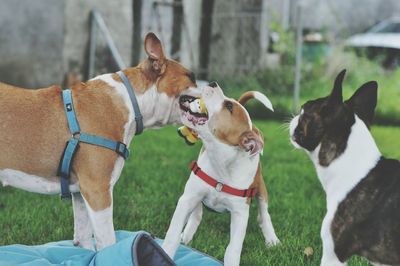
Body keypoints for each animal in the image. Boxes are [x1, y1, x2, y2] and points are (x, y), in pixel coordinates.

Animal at [0, 32, 199, 249]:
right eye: (191, 77)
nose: (213, 85)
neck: (131, 101)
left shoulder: (80, 193)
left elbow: (84, 238)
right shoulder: (98, 191)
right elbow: (107, 241)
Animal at [161, 83, 280, 266]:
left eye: (229, 106)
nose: (213, 83)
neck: (221, 162)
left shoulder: (240, 214)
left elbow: (233, 249)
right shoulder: (187, 199)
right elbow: (172, 234)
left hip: (261, 187)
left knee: (264, 215)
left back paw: (272, 240)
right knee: (197, 214)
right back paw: (187, 236)